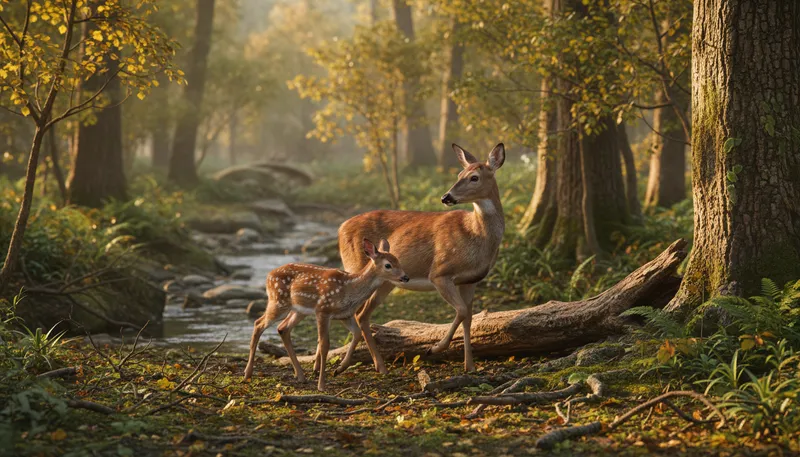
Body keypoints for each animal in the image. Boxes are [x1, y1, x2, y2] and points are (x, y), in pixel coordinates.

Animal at [243, 238, 408, 391]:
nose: (405, 277)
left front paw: (339, 369)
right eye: (388, 265)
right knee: (258, 323)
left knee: (283, 328)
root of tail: (268, 276)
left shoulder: (345, 315)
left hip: (299, 310)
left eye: (398, 260)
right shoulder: (323, 310)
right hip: (278, 302)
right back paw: (247, 374)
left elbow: (357, 334)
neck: (349, 289)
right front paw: (322, 385)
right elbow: (324, 345)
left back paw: (300, 375)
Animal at [335, 143, 506, 375]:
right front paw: (434, 348)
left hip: (385, 282)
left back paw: (377, 366)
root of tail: (340, 228)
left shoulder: (471, 280)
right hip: (357, 270)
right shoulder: (440, 272)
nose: (446, 197)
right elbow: (461, 311)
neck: (476, 235)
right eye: (459, 174)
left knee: (362, 315)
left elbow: (469, 319)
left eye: (474, 177)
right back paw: (344, 365)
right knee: (353, 312)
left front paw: (470, 366)